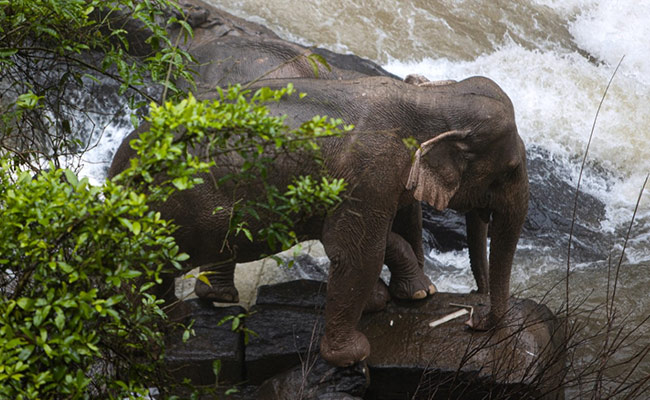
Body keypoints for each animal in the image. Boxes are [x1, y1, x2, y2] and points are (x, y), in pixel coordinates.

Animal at [108, 75, 528, 367]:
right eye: (509, 169)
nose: (473, 320)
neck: (431, 100)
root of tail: (119, 165)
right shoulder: (371, 171)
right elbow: (356, 252)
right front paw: (354, 355)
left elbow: (360, 241)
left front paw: (403, 296)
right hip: (183, 204)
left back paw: (181, 314)